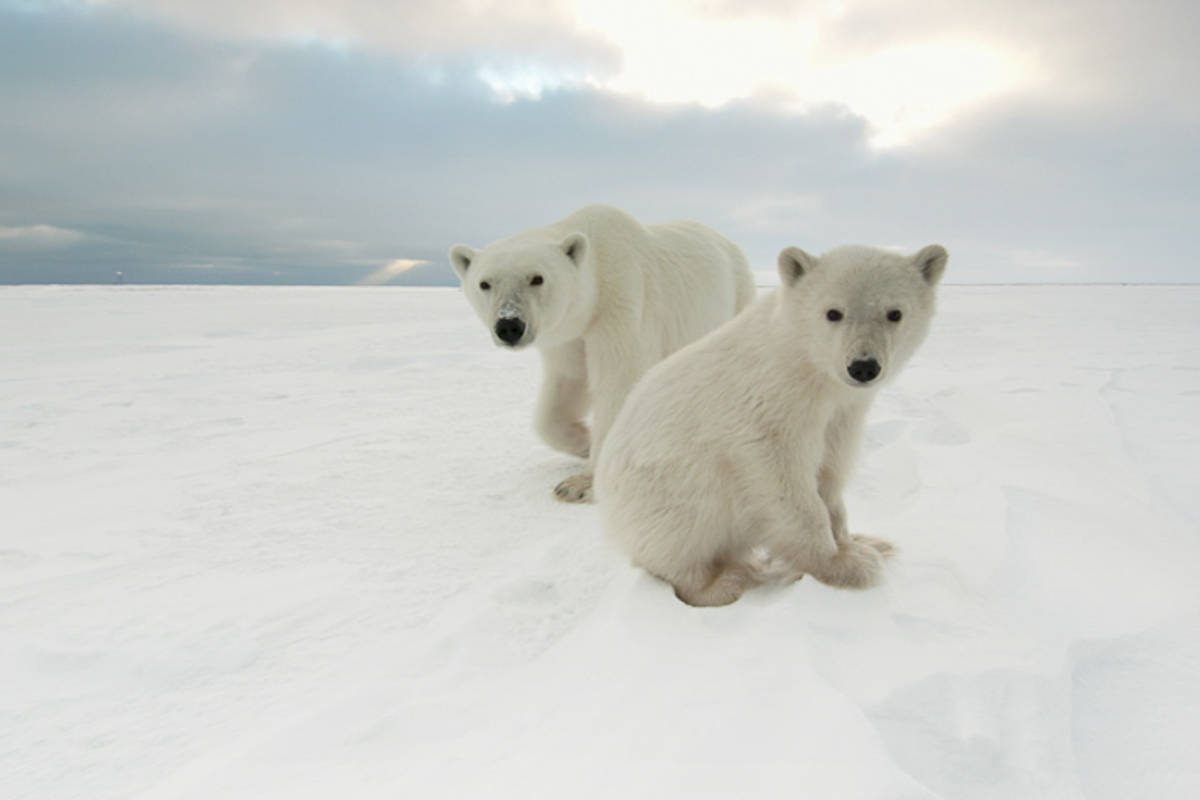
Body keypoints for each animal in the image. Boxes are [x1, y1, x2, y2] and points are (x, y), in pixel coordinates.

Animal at [451, 205, 748, 501]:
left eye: (537, 278)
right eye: (485, 283)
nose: (509, 325)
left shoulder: (620, 305)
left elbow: (618, 382)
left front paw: (578, 485)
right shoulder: (568, 335)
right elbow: (567, 383)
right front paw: (583, 442)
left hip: (737, 295)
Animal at [595, 244, 950, 606]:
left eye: (895, 313)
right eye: (833, 312)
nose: (863, 366)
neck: (805, 364)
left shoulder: (841, 415)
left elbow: (829, 473)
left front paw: (856, 544)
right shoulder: (769, 406)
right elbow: (783, 481)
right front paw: (844, 565)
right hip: (667, 494)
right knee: (679, 542)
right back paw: (726, 580)